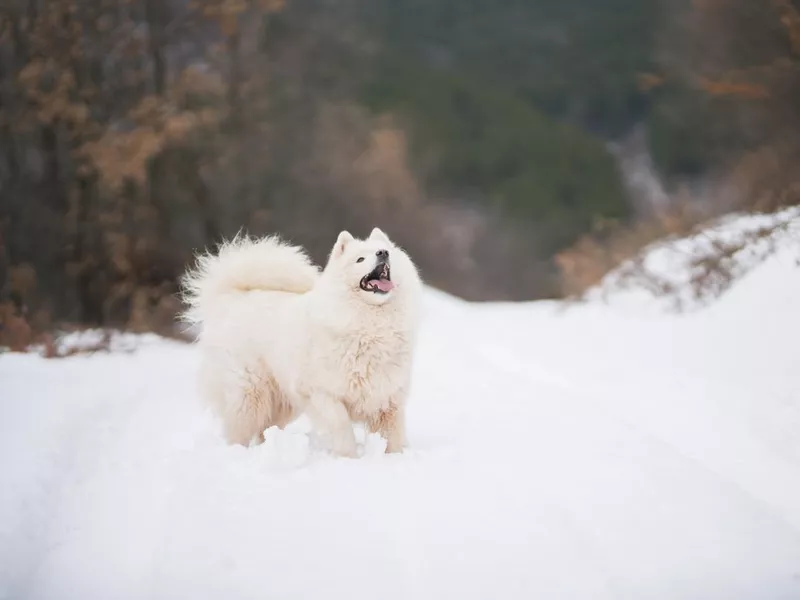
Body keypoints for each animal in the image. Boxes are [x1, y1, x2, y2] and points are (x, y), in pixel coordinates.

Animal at [179, 227, 422, 458]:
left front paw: (393, 458)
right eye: (360, 259)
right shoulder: (322, 394)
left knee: (265, 430)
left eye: (386, 251)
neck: (371, 326)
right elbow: (341, 424)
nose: (383, 253)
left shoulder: (388, 399)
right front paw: (348, 458)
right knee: (238, 431)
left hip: (282, 404)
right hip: (249, 395)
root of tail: (231, 299)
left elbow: (392, 437)